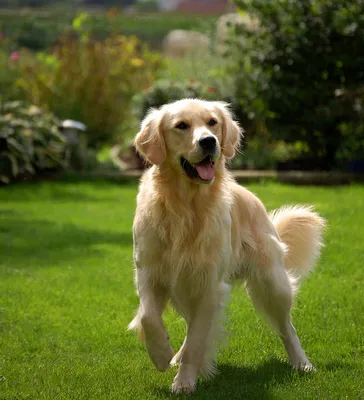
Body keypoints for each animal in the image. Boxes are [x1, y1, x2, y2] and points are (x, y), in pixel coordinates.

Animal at [127, 98, 324, 392]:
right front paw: (161, 354)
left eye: (212, 122)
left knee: (288, 329)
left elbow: (197, 339)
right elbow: (149, 318)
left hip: (272, 284)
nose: (209, 142)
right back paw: (176, 355)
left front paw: (184, 381)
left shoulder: (208, 284)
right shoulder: (149, 273)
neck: (186, 206)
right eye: (181, 125)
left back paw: (302, 363)